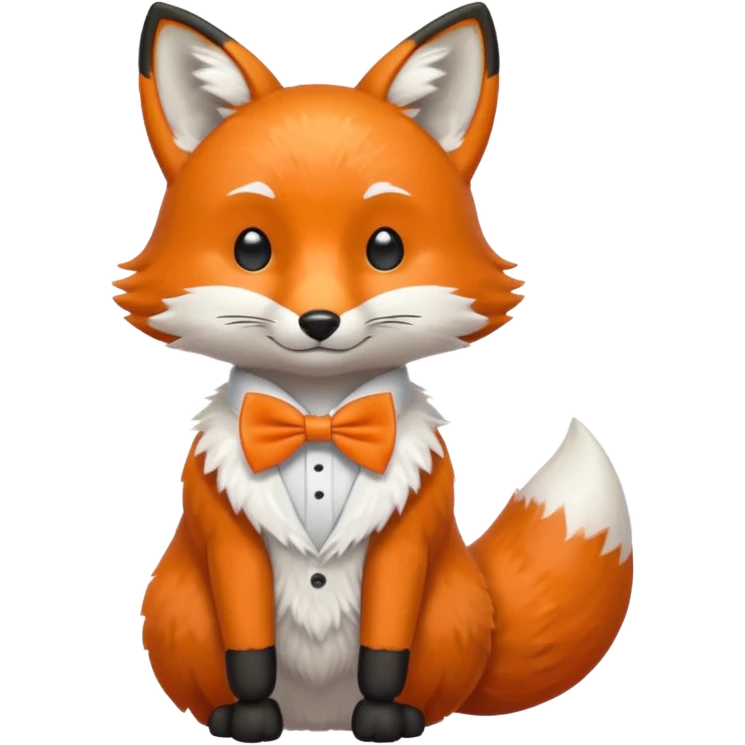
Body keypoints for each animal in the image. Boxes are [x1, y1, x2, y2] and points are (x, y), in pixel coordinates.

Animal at [120, 2, 634, 743]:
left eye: (384, 247)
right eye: (252, 248)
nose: (319, 320)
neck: (319, 418)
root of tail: (319, 719)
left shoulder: (408, 533)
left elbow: (384, 648)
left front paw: (385, 717)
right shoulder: (228, 534)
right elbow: (249, 649)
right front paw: (250, 717)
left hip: (448, 609)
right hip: (178, 605)